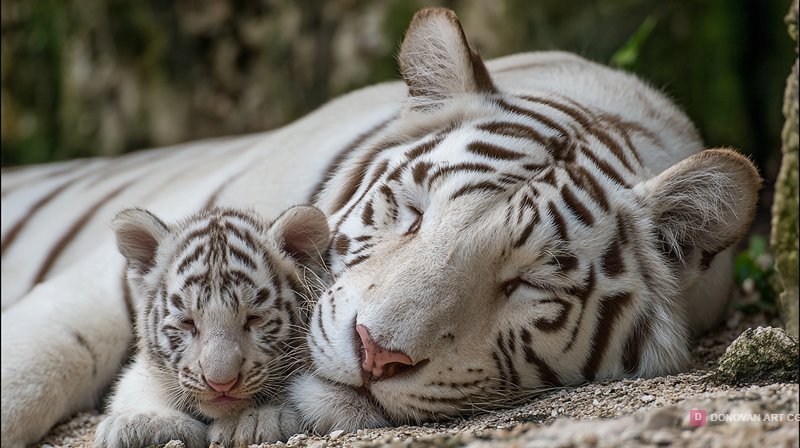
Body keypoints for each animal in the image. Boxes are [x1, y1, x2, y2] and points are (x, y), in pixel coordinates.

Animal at [94, 205, 329, 448]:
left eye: (254, 318)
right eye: (187, 322)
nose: (221, 384)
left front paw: (257, 419)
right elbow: (140, 388)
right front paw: (146, 422)